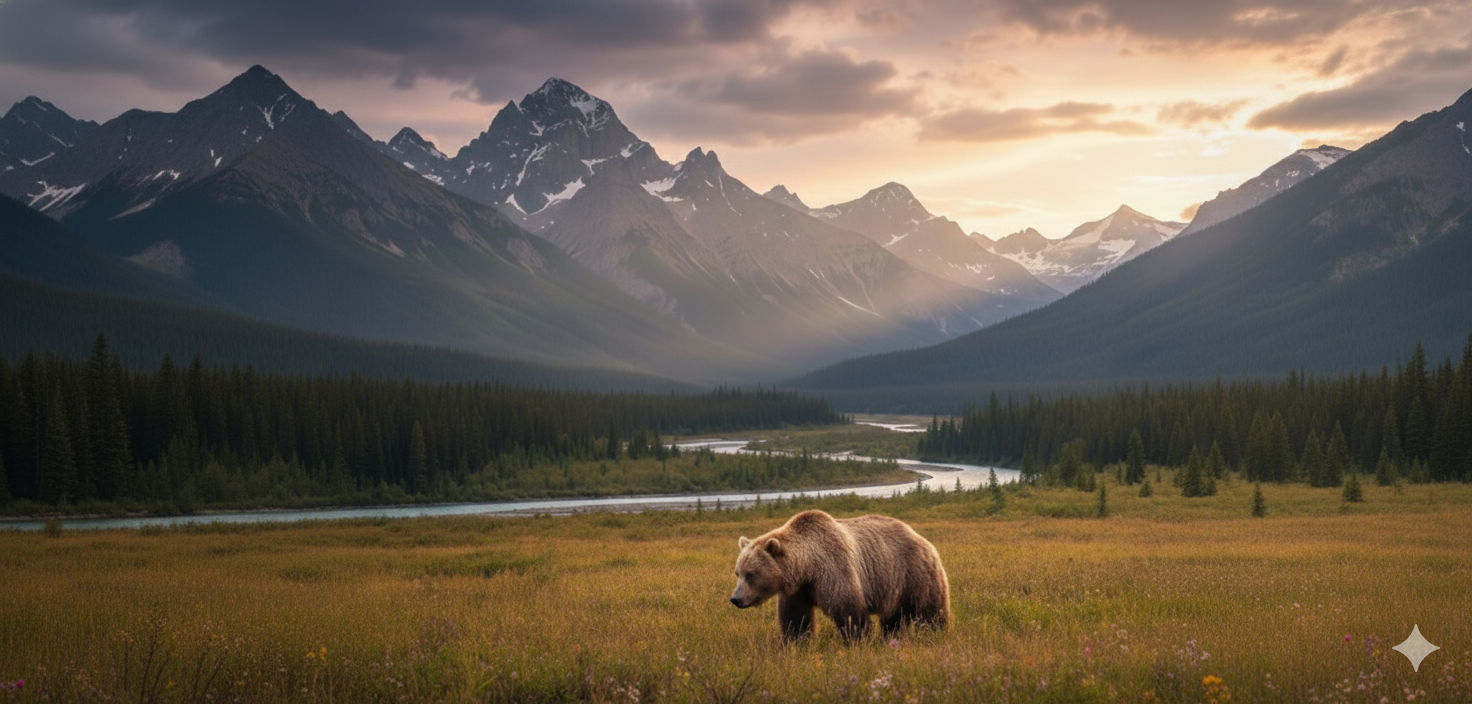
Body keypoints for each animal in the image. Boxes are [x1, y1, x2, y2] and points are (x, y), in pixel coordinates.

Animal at [728, 509, 949, 641]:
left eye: (751, 574)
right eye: (738, 572)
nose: (735, 599)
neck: (807, 567)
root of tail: (922, 539)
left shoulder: (834, 570)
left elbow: (849, 610)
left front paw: (857, 640)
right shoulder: (798, 590)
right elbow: (795, 617)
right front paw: (796, 641)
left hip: (914, 573)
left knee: (930, 609)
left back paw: (935, 634)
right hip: (894, 586)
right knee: (894, 617)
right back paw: (891, 637)